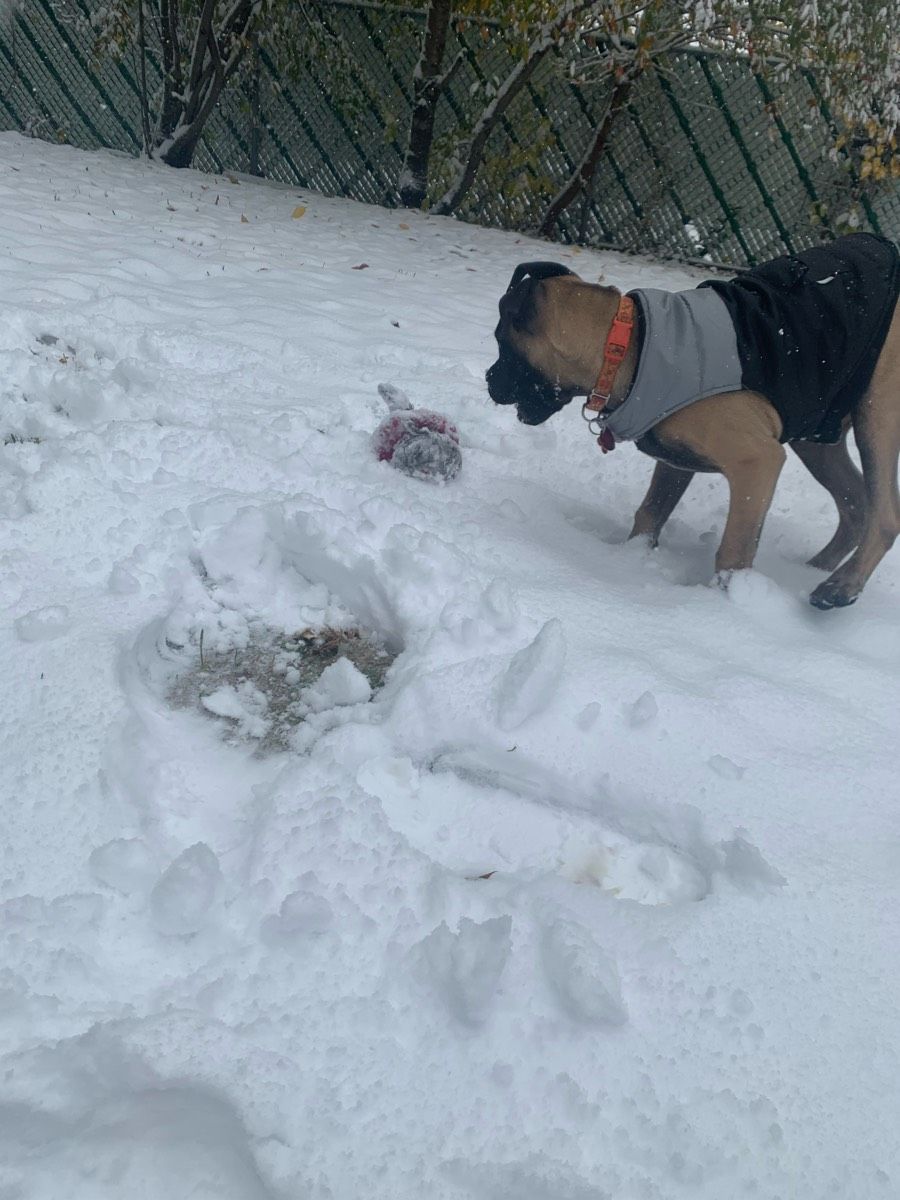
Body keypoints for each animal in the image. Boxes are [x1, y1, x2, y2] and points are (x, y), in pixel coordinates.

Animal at [489, 237, 900, 604]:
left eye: (501, 343)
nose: (489, 380)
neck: (627, 346)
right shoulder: (674, 461)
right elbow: (650, 514)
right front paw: (630, 561)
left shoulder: (756, 462)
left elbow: (734, 550)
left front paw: (722, 605)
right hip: (817, 430)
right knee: (855, 502)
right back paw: (813, 570)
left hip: (877, 415)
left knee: (884, 514)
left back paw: (841, 586)